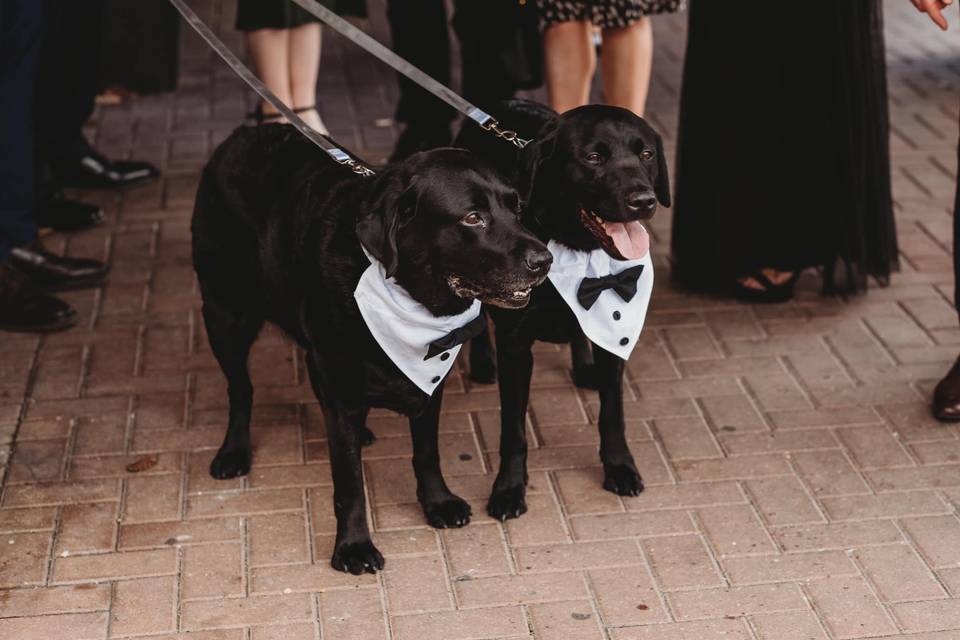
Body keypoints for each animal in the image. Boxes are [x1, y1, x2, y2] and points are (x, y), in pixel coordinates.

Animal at [192, 122, 552, 572]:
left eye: (517, 209)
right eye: (473, 217)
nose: (544, 260)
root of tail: (244, 130)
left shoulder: (429, 381)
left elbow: (427, 453)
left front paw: (437, 502)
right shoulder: (336, 381)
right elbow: (349, 482)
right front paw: (353, 545)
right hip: (225, 314)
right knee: (240, 387)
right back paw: (234, 450)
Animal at [456, 100, 668, 520]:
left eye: (647, 154)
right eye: (593, 157)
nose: (644, 201)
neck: (575, 247)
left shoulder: (614, 323)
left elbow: (612, 414)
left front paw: (620, 466)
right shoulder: (516, 347)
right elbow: (514, 432)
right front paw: (508, 488)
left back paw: (583, 365)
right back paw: (483, 362)